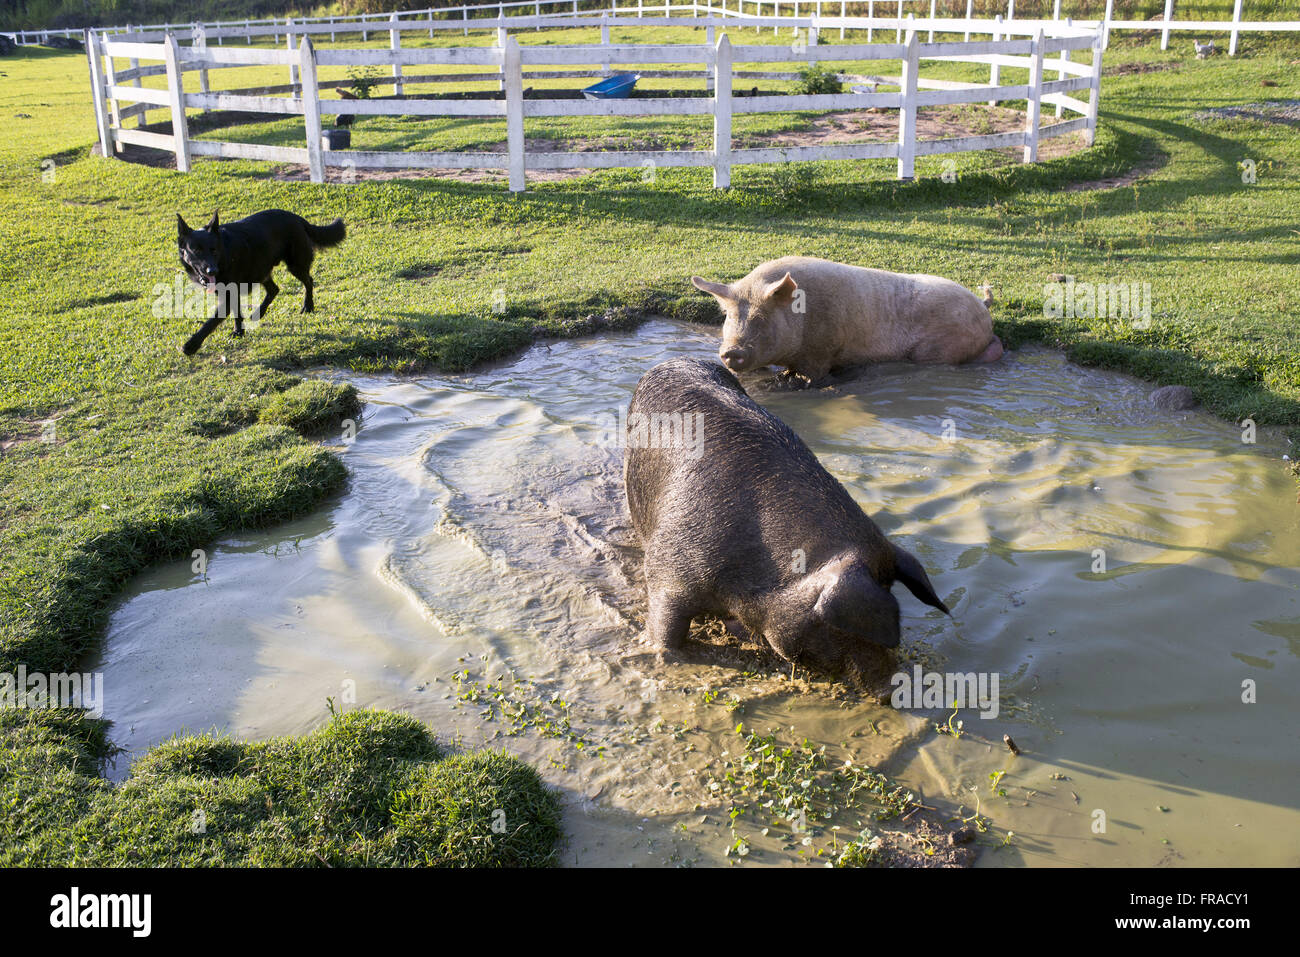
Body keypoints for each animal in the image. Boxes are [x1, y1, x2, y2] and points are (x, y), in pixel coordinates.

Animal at [180, 208, 351, 356]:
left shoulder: (228, 295)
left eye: (213, 249)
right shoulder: (231, 292)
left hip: (295, 265)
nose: (212, 271)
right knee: (274, 289)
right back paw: (258, 313)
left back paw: (308, 306)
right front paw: (239, 332)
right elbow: (237, 313)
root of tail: (296, 218)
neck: (224, 254)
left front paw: (191, 345)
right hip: (261, 270)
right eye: (196, 250)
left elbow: (210, 323)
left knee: (309, 281)